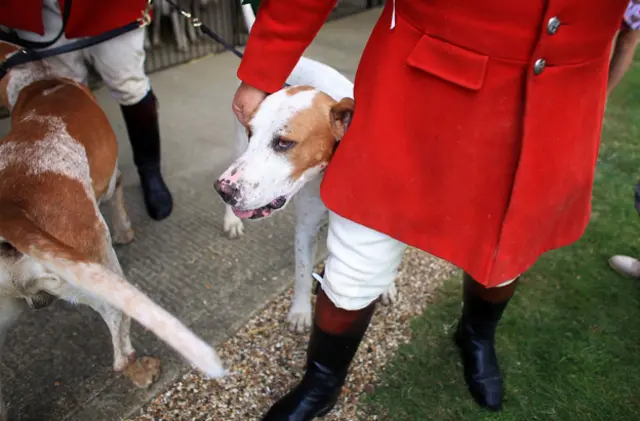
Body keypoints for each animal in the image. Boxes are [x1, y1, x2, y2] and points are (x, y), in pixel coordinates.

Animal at [0, 40, 225, 416]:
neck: (40, 79)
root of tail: (10, 208)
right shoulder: (111, 183)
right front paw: (126, 233)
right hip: (103, 274)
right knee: (120, 340)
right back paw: (142, 370)